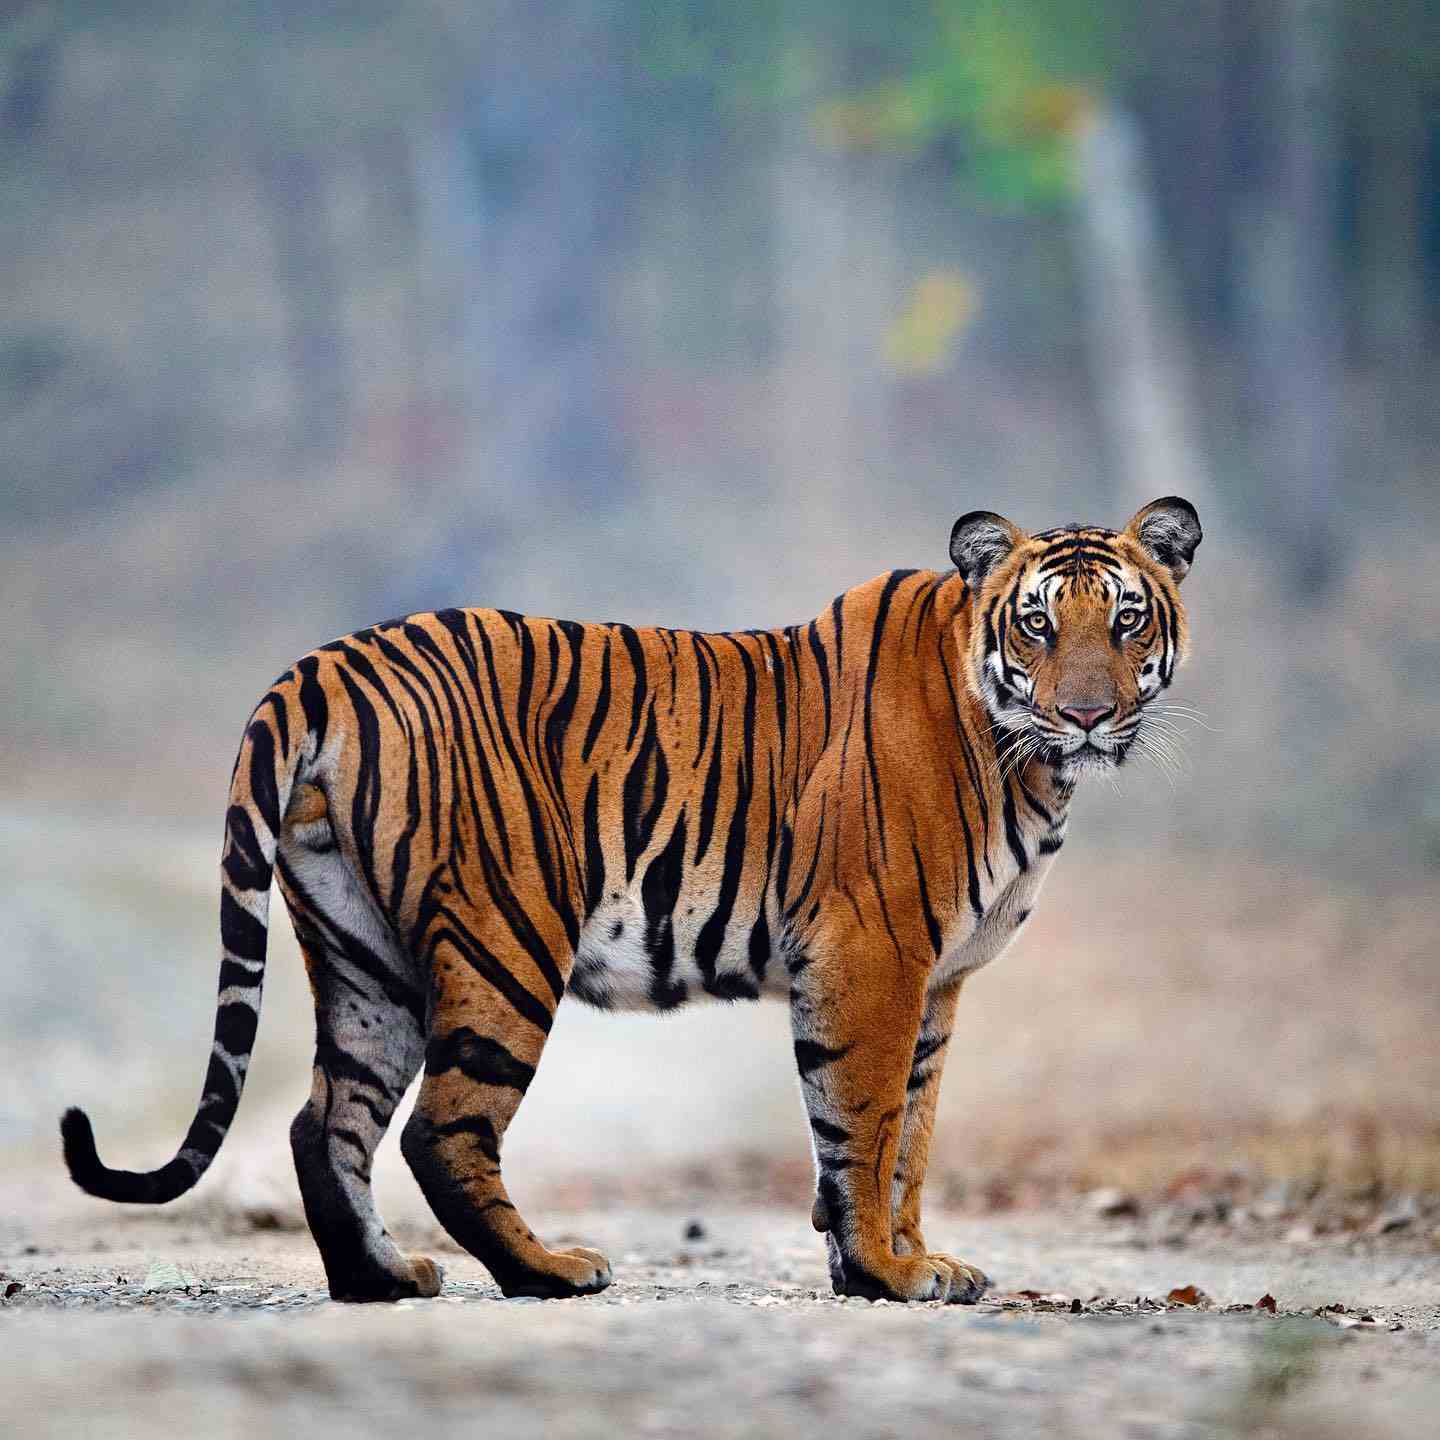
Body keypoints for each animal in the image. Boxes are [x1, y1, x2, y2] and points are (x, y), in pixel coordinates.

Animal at [61, 496, 1201, 1304]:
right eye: (1039, 625)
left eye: (1127, 620)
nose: (1086, 716)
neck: (1026, 765)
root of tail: (325, 663)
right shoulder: (873, 953)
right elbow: (866, 1121)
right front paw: (885, 1272)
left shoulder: (940, 981)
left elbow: (911, 1134)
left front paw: (911, 1263)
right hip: (509, 938)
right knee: (440, 1130)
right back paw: (549, 1271)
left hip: (362, 953)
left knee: (324, 1121)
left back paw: (381, 1280)